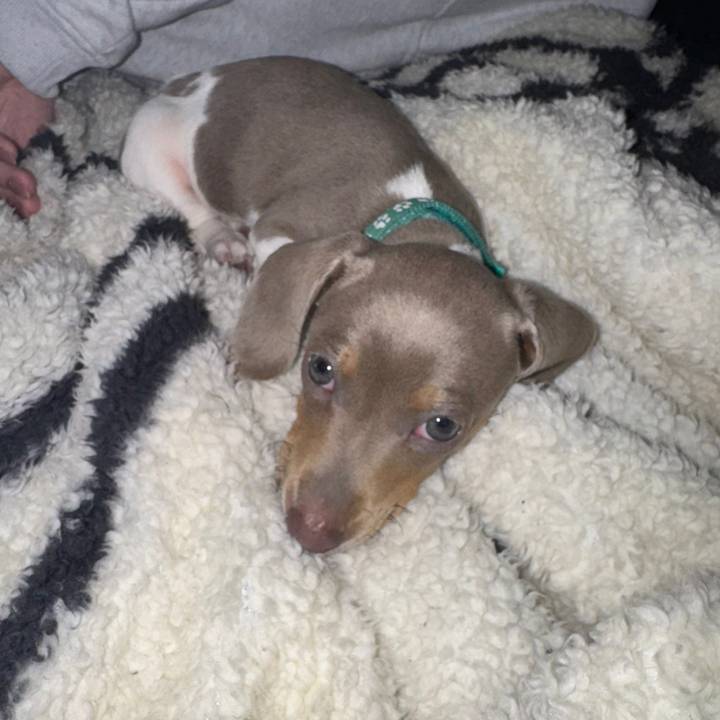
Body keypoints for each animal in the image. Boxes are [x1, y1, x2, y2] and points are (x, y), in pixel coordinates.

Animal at [121, 56, 597, 553]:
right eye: (319, 369)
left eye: (442, 426)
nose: (309, 533)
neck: (413, 217)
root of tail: (191, 79)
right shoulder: (280, 229)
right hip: (152, 146)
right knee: (193, 207)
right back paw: (222, 240)